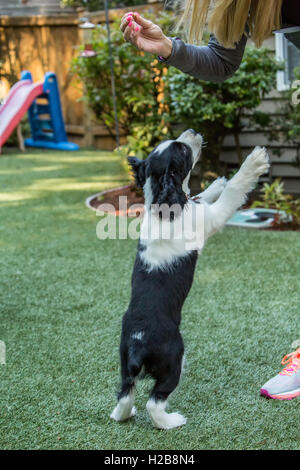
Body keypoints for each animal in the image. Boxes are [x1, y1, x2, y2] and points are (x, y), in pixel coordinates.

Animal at [110, 129, 270, 430]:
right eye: (182, 150)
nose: (193, 132)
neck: (161, 202)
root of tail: (137, 344)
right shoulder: (211, 219)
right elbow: (232, 193)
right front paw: (253, 162)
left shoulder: (195, 206)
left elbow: (199, 195)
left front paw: (217, 182)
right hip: (175, 360)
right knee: (154, 401)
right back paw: (172, 421)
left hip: (124, 364)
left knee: (125, 393)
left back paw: (123, 414)